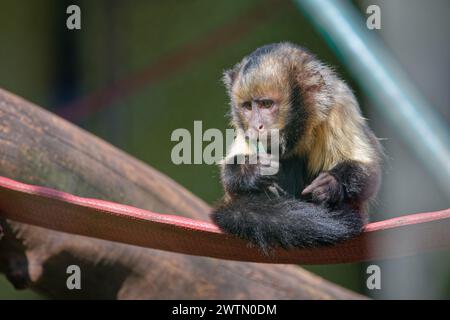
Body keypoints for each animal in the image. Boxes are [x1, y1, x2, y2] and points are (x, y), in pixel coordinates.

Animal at [211, 42, 384, 254]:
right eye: (248, 107)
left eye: (266, 104)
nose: (256, 126)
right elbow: (228, 176)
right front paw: (253, 170)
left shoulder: (339, 104)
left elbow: (370, 175)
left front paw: (332, 183)